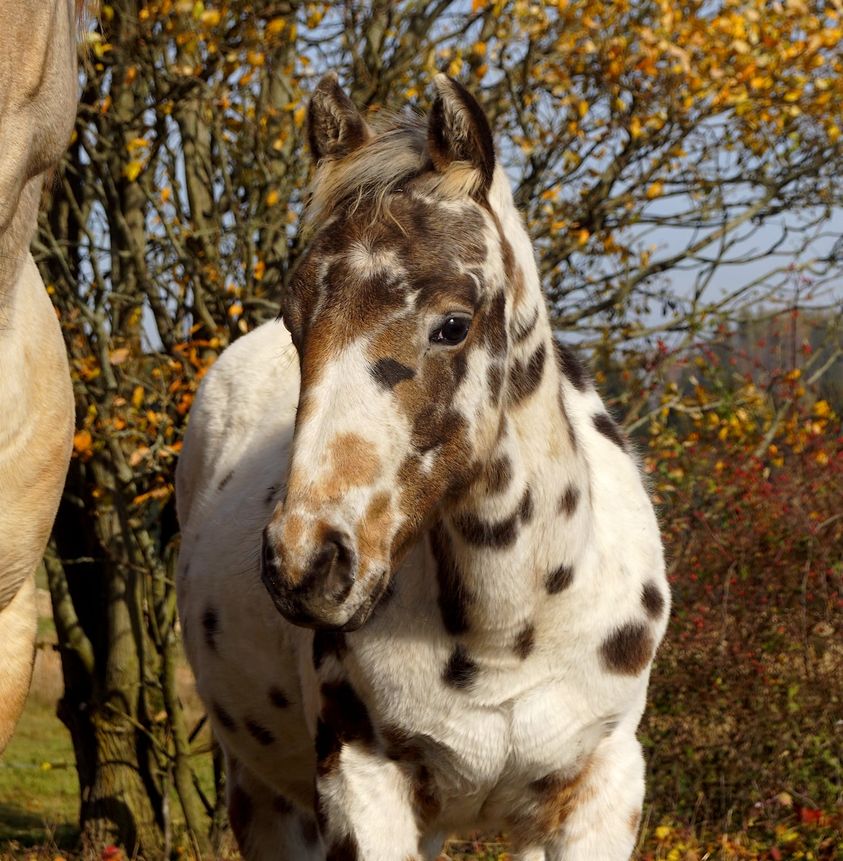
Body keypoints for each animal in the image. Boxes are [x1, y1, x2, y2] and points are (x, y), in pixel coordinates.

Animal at [178, 74, 672, 860]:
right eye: (295, 321)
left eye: (452, 325)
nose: (306, 564)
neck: (508, 627)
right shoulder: (360, 782)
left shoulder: (600, 790)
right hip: (264, 796)